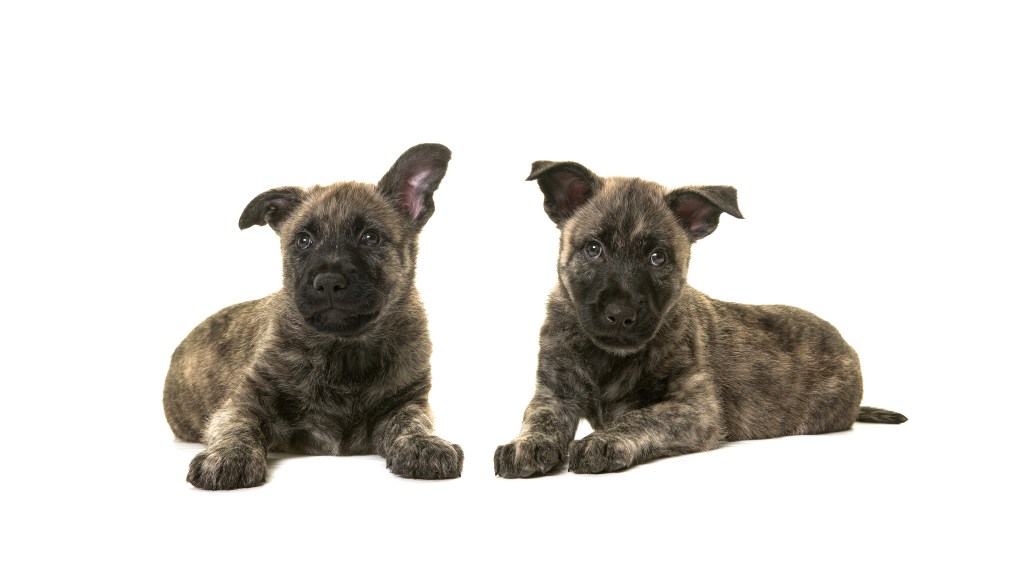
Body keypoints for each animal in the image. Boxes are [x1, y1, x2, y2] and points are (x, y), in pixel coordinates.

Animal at [164, 142, 464, 489]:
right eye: (303, 240)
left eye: (370, 238)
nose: (328, 282)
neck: (344, 350)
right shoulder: (246, 400)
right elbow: (236, 425)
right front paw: (227, 455)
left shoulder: (408, 401)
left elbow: (412, 422)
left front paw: (424, 444)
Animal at [495, 160, 905, 479]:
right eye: (593, 249)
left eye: (658, 257)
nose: (620, 315)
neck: (608, 358)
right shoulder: (554, 392)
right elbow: (540, 417)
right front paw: (526, 444)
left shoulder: (697, 409)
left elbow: (642, 418)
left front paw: (604, 440)